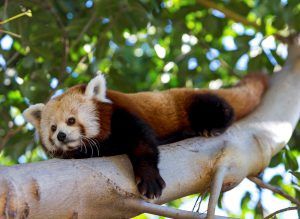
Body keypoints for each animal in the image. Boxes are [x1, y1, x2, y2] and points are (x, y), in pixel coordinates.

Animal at [22, 73, 268, 198]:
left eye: (71, 120)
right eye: (53, 128)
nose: (62, 136)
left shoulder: (123, 116)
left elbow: (144, 144)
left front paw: (149, 179)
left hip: (191, 102)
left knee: (220, 108)